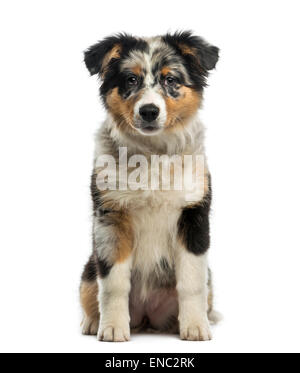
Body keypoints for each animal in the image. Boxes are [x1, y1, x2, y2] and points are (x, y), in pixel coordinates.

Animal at [79, 32, 220, 340]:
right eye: (131, 79)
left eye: (171, 80)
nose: (149, 111)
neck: (153, 153)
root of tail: (147, 316)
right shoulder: (111, 215)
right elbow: (114, 282)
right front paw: (112, 328)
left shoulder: (193, 215)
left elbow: (191, 281)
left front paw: (195, 326)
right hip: (88, 268)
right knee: (90, 289)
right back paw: (93, 322)